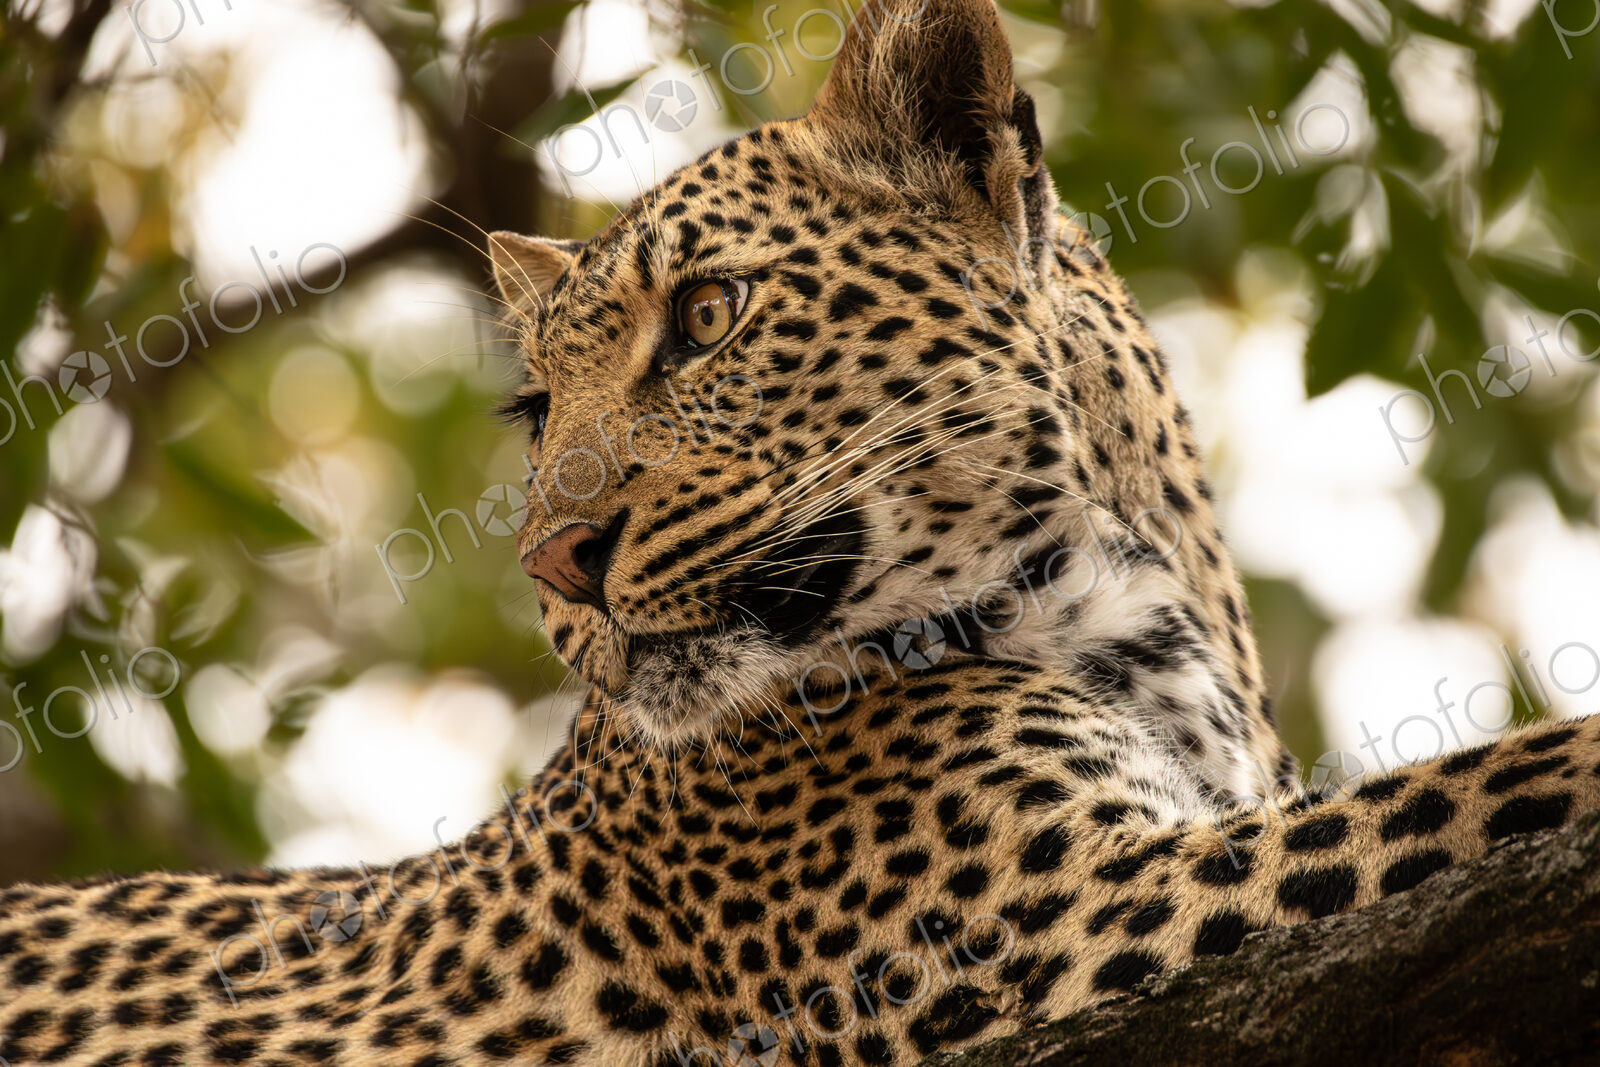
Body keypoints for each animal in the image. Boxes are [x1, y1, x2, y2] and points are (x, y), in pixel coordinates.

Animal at [4, 0, 1600, 1064]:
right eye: (538, 410)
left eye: (710, 314)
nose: (550, 566)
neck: (1151, 615)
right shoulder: (1057, 919)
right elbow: (1478, 781)